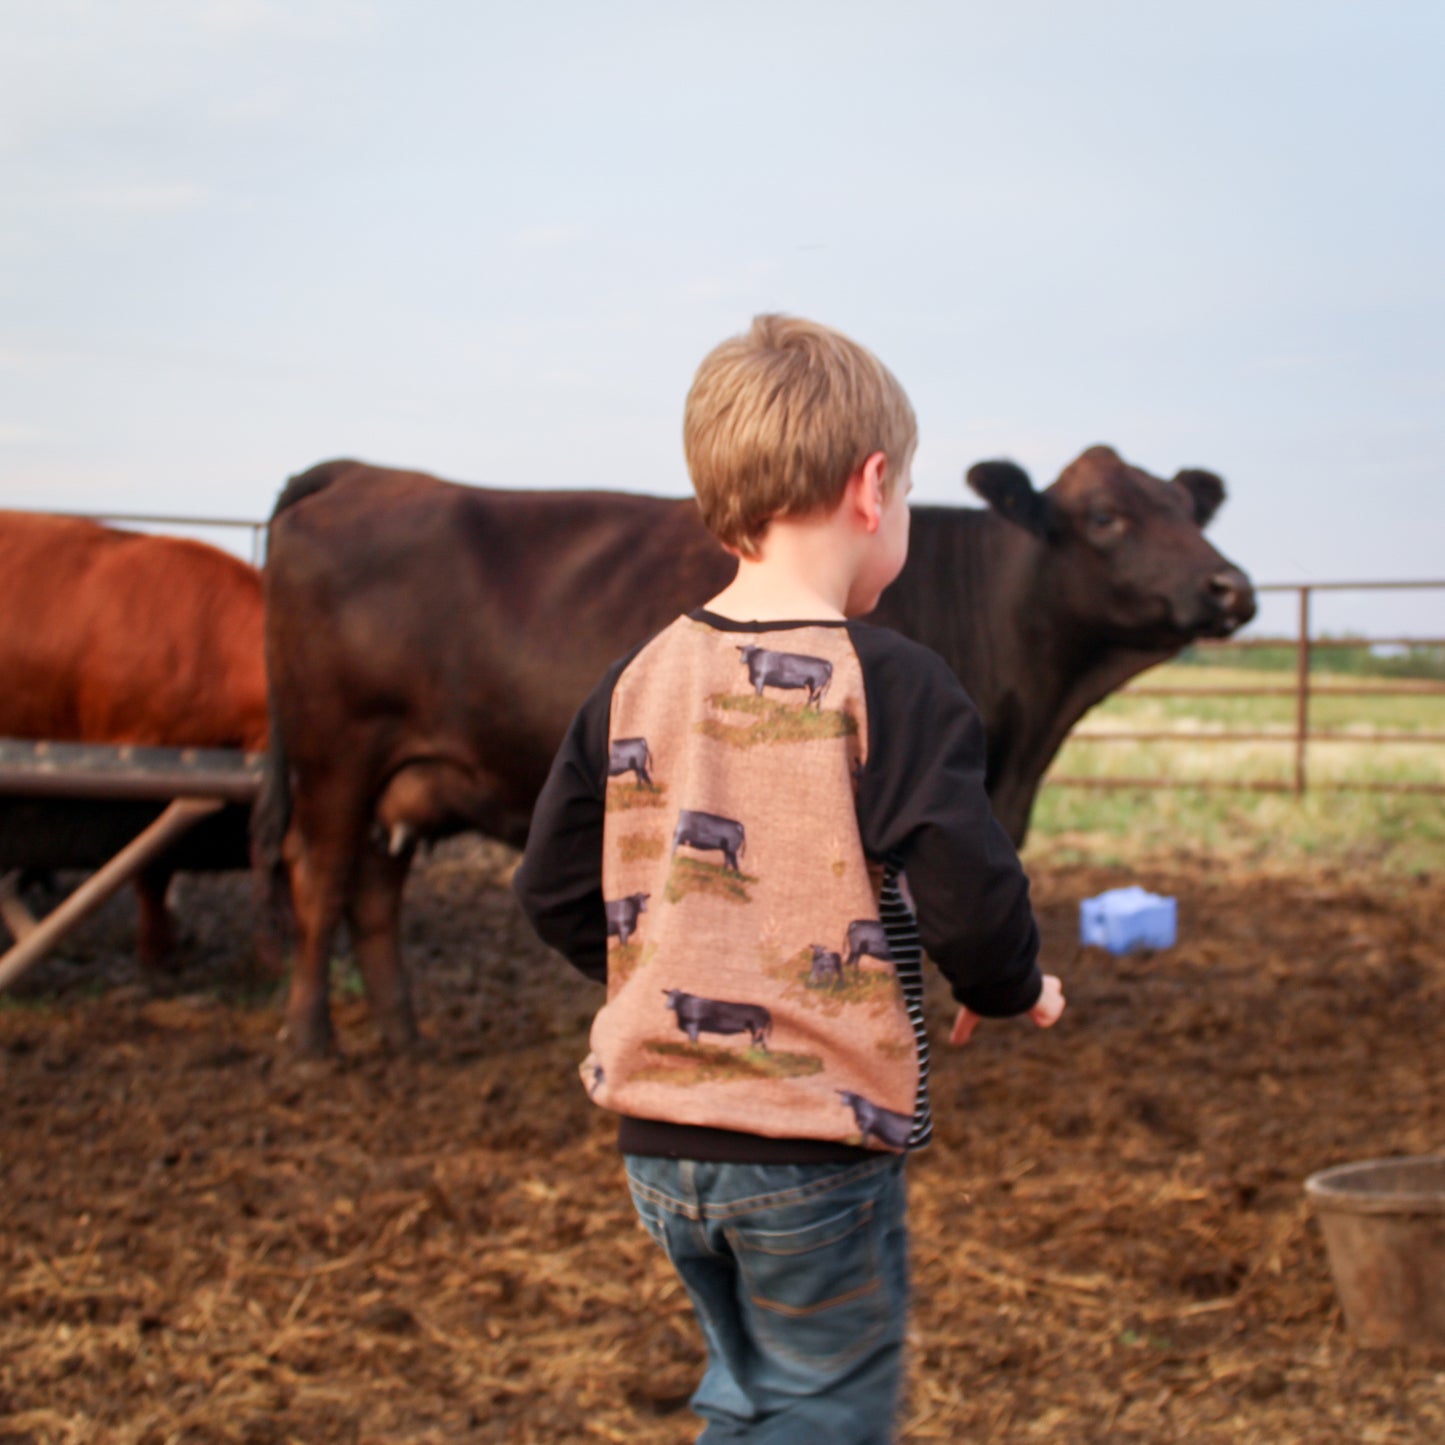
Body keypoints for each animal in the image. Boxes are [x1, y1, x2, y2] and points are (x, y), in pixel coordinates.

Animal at [257, 445, 1254, 1057]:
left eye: (1183, 506)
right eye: (1105, 517)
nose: (1230, 585)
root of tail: (366, 473)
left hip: (402, 777)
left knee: (372, 893)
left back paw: (403, 1033)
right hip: (336, 751)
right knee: (319, 876)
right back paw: (308, 1040)